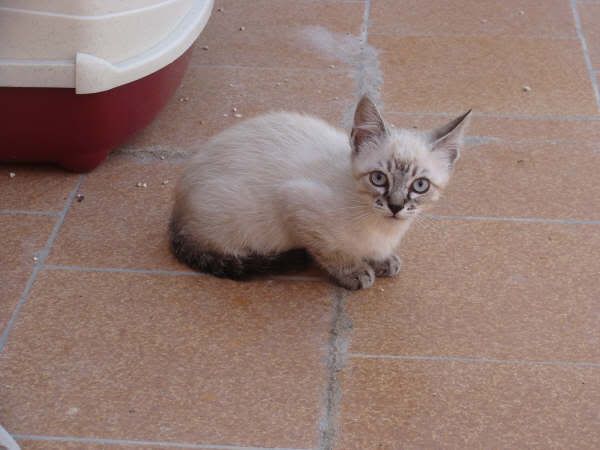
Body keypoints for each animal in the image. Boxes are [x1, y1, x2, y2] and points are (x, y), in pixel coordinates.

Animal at [169, 96, 468, 290]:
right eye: (379, 178)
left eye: (420, 185)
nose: (395, 206)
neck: (384, 229)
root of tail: (177, 214)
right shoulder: (296, 203)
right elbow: (330, 251)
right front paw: (356, 271)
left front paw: (383, 260)